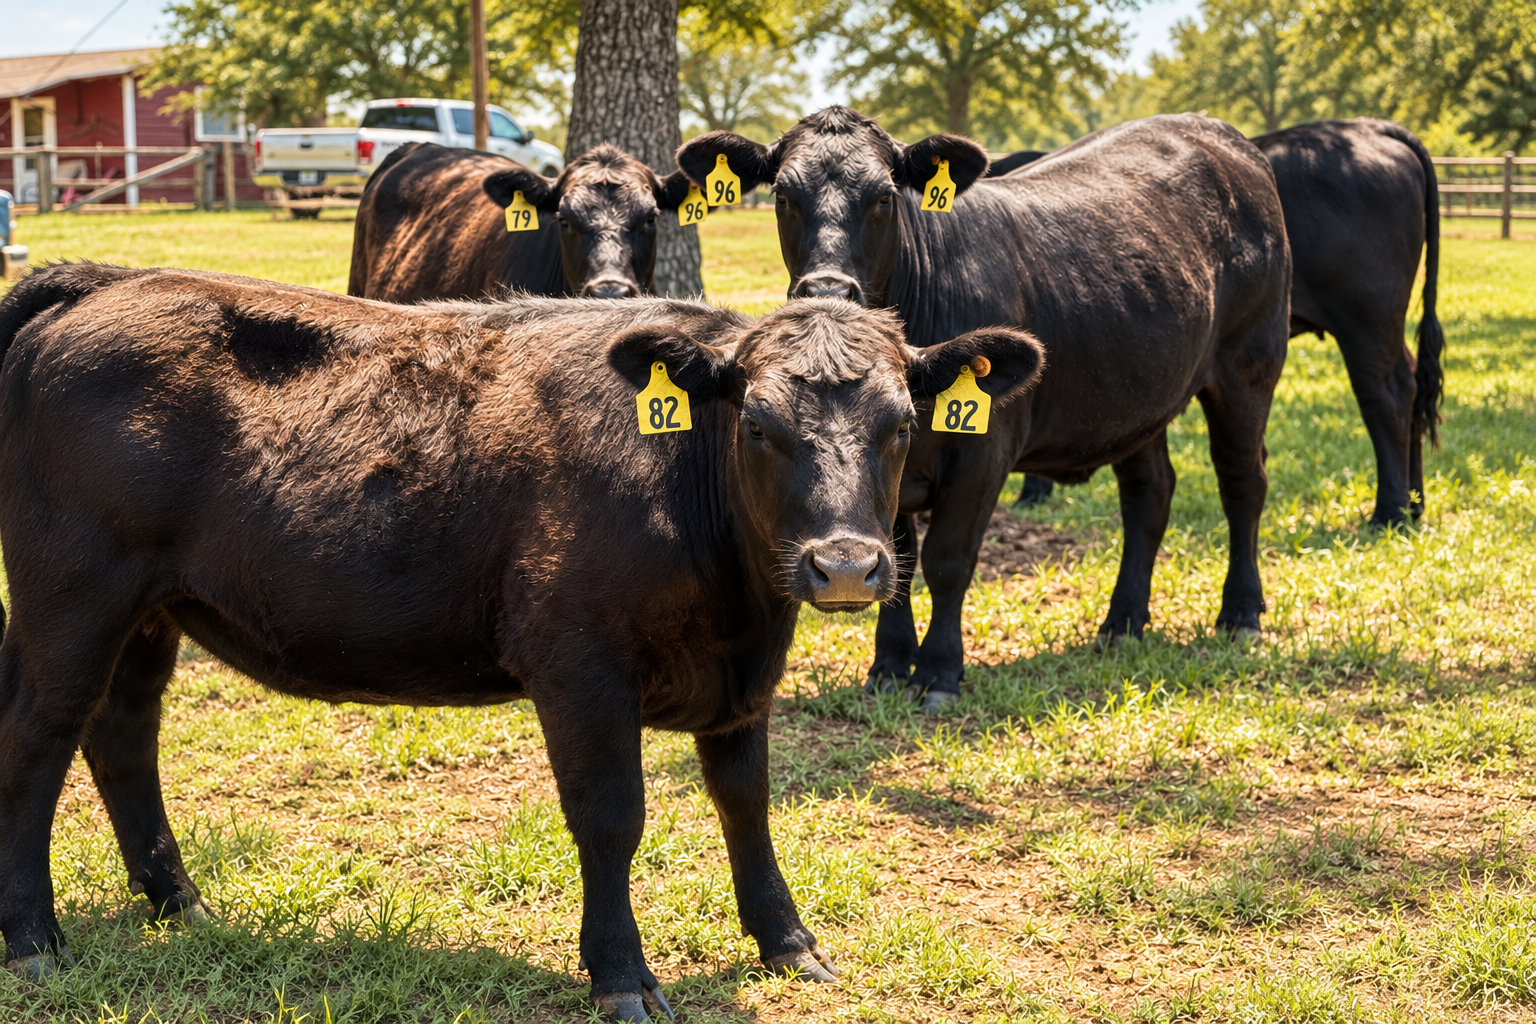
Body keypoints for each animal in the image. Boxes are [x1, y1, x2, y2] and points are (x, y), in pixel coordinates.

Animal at [0, 263, 1043, 1021]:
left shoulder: (743, 674)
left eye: (902, 424)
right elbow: (612, 816)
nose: (847, 566)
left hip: (149, 613)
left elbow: (746, 803)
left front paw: (787, 943)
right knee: (37, 744)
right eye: (757, 423)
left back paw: (178, 900)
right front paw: (621, 975)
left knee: (122, 738)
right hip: (70, 601)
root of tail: (106, 285)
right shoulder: (579, 664)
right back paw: (34, 940)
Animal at [678, 107, 1292, 710]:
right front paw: (889, 666)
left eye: (884, 197)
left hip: (1248, 365)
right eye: (783, 195)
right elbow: (897, 561)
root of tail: (1218, 130)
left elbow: (948, 561)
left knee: (1242, 481)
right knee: (1149, 494)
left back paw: (1240, 612)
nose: (826, 290)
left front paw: (939, 672)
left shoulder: (983, 454)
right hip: (1135, 401)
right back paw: (1122, 622)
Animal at [1003, 119, 1445, 524]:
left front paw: (1033, 492)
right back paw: (1415, 504)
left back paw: (1390, 512)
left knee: (1385, 395)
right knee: (1410, 382)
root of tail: (1367, 127)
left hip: (1366, 316)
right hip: (1382, 323)